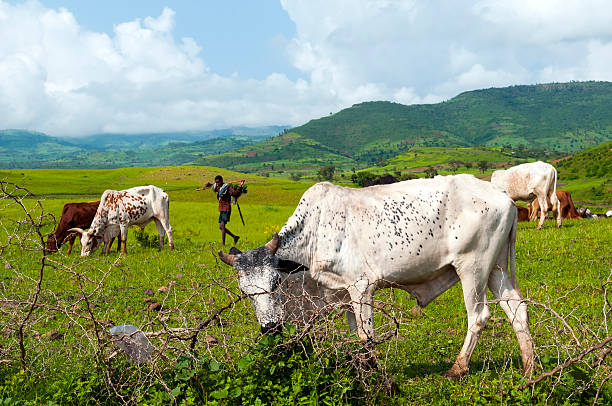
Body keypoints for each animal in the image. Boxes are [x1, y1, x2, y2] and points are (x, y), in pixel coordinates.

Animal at [219, 175, 532, 380]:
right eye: (245, 293)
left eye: (275, 283)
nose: (269, 328)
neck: (313, 234)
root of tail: (504, 195)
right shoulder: (343, 295)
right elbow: (353, 335)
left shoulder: (362, 287)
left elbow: (365, 335)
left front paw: (371, 375)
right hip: (496, 268)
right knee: (517, 310)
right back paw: (530, 367)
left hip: (473, 266)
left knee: (478, 316)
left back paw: (457, 368)